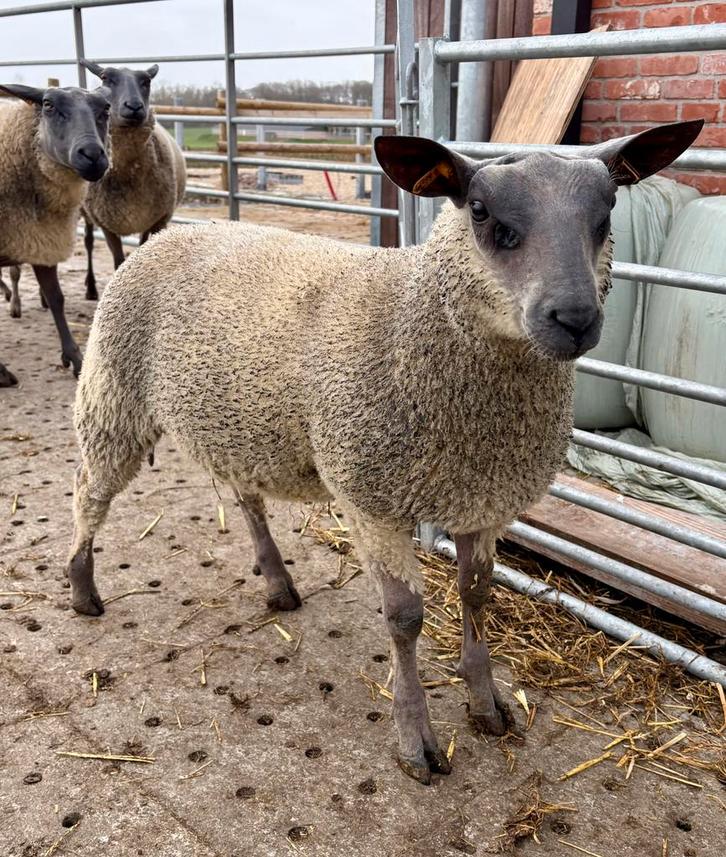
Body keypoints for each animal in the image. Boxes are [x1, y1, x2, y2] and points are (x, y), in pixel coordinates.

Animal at [0, 83, 110, 381]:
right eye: (48, 105)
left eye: (105, 110)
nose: (93, 155)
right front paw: (1, 371)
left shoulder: (41, 239)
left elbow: (56, 298)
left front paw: (75, 359)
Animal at [66, 120, 700, 784]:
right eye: (480, 211)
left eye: (607, 211)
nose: (575, 318)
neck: (410, 322)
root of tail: (170, 234)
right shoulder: (370, 496)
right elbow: (405, 618)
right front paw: (416, 739)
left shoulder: (484, 498)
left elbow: (477, 594)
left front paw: (487, 705)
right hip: (113, 391)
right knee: (90, 489)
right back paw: (83, 589)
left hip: (233, 421)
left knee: (245, 497)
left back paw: (278, 583)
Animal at [79, 62, 186, 299]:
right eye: (105, 78)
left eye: (146, 81)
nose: (135, 106)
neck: (128, 173)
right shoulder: (106, 223)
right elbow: (118, 261)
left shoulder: (157, 219)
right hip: (84, 212)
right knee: (88, 241)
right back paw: (90, 288)